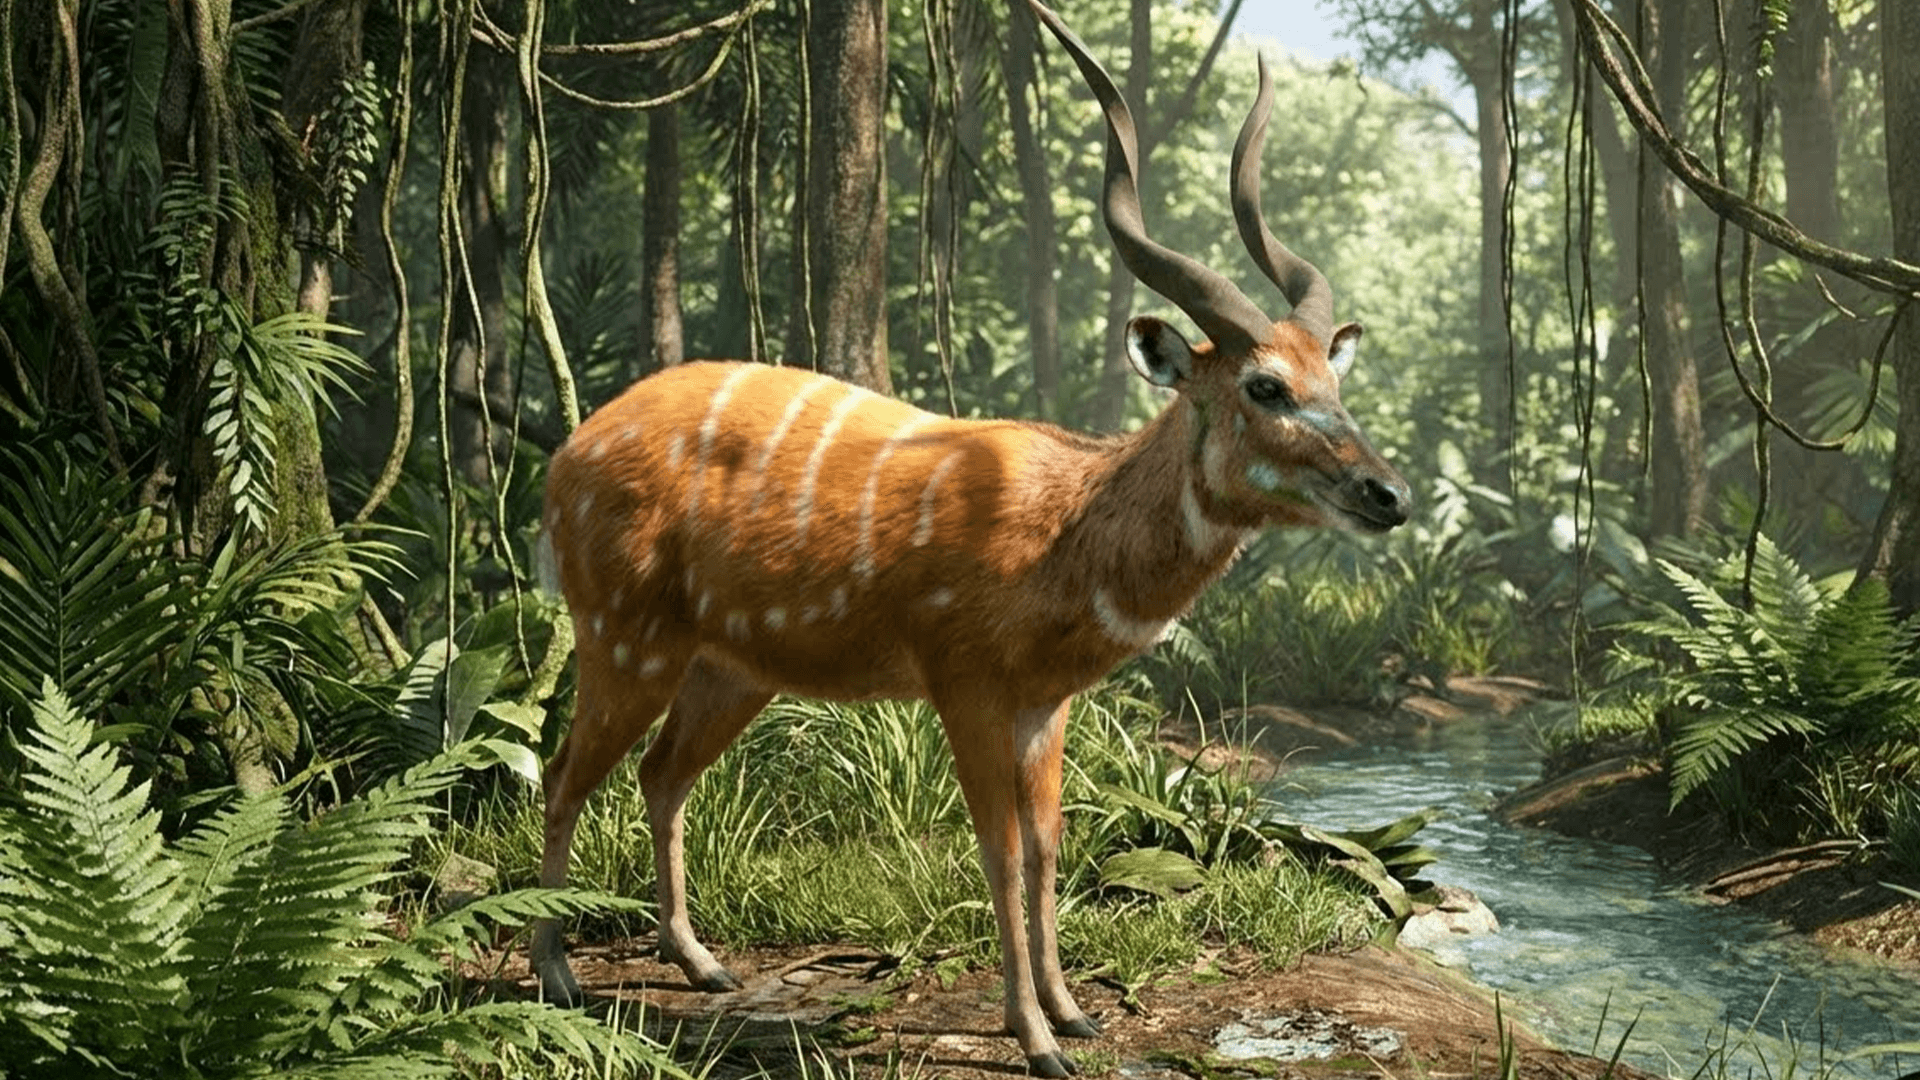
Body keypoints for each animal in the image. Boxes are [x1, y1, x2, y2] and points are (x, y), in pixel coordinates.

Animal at [531, 2, 1410, 1074]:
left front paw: (1074, 1012)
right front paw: (1035, 1039)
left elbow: (1047, 846)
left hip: (731, 668)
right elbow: (997, 849)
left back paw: (701, 964)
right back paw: (557, 975)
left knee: (660, 775)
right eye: (1266, 386)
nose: (1387, 494)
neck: (1069, 534)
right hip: (624, 636)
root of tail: (566, 456)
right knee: (562, 772)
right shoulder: (967, 682)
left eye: (1335, 380)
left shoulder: (1046, 704)